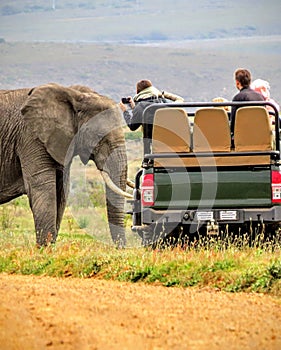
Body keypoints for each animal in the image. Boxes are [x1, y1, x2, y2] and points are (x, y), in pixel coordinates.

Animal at [0, 83, 129, 247]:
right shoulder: (30, 137)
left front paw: (49, 248)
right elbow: (43, 188)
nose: (121, 248)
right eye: (98, 136)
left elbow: (61, 190)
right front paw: (44, 249)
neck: (73, 94)